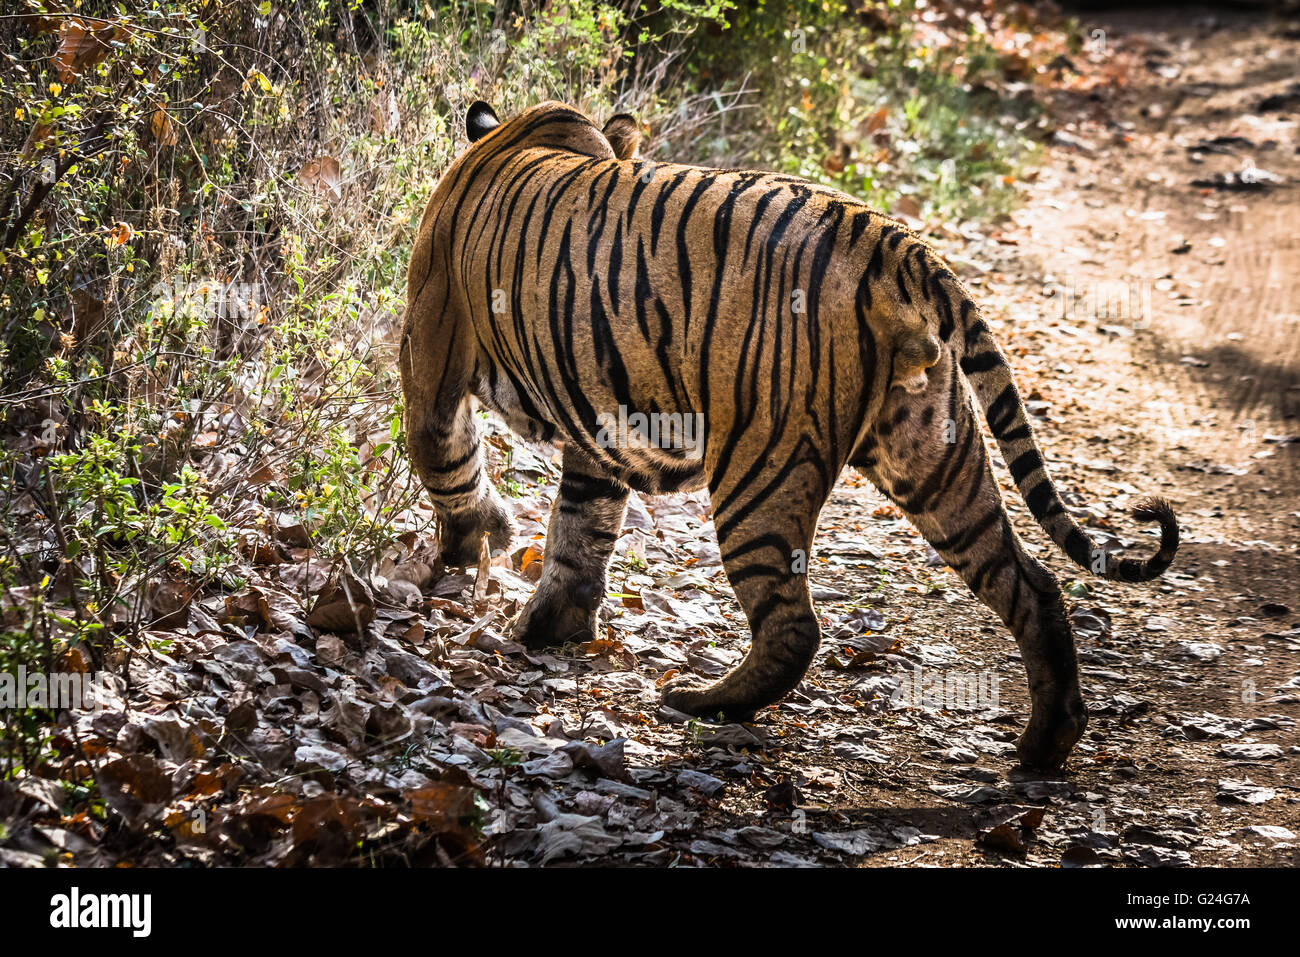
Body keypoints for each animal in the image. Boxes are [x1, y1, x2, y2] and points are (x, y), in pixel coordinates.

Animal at [397, 97, 1180, 769]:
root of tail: (896, 242)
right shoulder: (599, 425)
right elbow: (581, 527)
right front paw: (551, 624)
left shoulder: (430, 355)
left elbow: (448, 460)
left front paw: (472, 552)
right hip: (935, 455)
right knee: (1032, 586)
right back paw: (1046, 743)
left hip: (760, 468)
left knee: (793, 624)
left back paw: (704, 703)